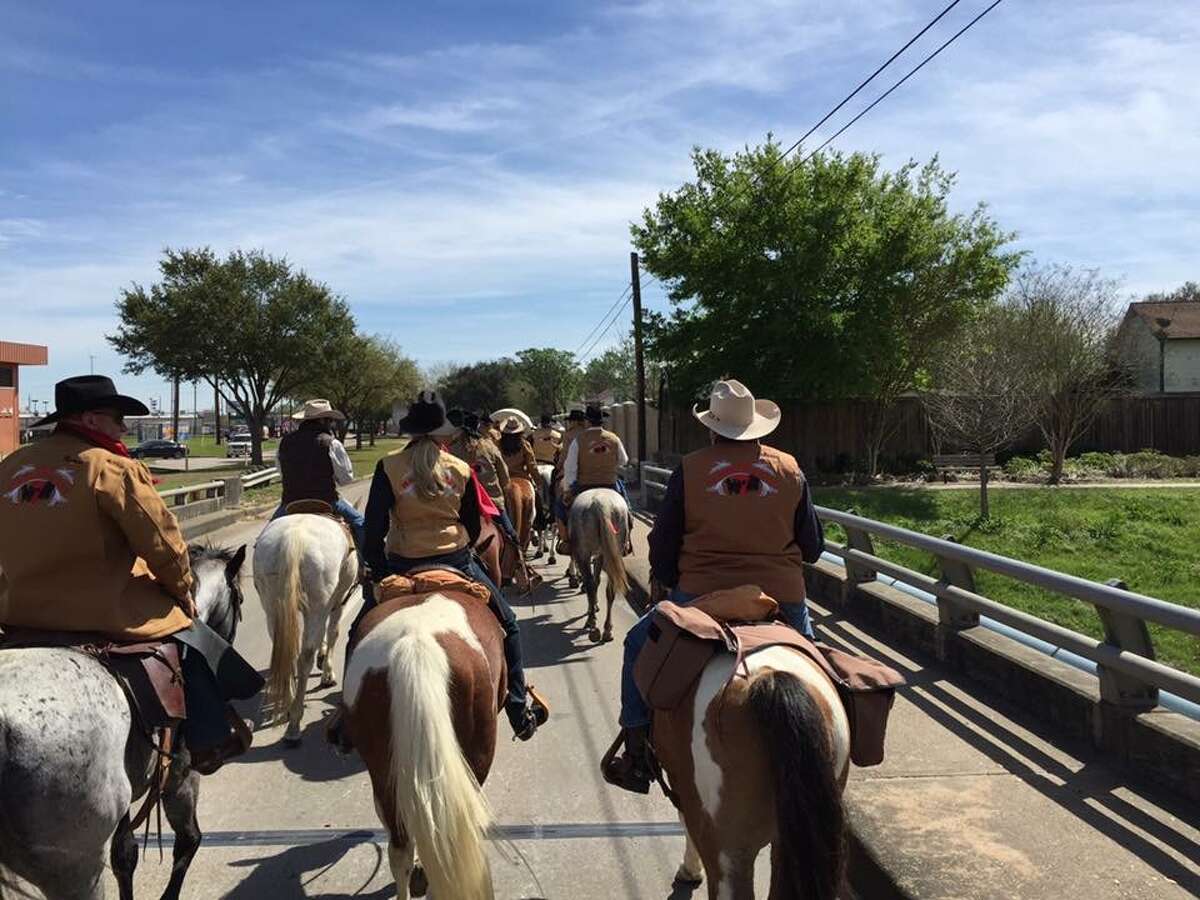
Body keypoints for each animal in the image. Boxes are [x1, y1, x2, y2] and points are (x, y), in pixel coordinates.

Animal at [254, 513, 357, 748]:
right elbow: (333, 632)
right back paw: (294, 724)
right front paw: (327, 672)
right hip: (320, 601)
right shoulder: (339, 601)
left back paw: (288, 706)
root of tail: (293, 537)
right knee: (304, 658)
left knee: (288, 653)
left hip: (272, 606)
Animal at [568, 489, 633, 643]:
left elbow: (592, 582)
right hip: (613, 551)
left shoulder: (584, 555)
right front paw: (595, 605)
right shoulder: (600, 555)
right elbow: (597, 581)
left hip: (584, 553)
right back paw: (607, 630)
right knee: (610, 590)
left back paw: (592, 622)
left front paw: (592, 608)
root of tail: (601, 505)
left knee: (590, 584)